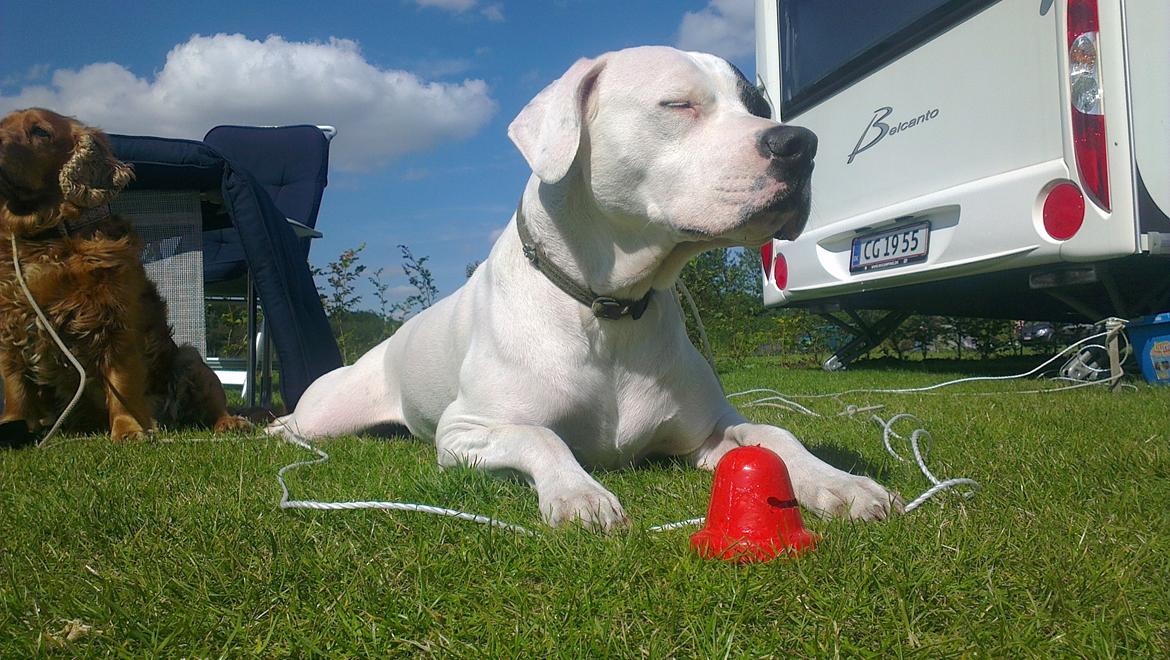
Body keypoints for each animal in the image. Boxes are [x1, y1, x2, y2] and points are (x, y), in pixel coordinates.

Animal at [0, 107, 246, 437]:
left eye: (41, 132)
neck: (48, 238)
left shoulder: (116, 322)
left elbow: (123, 384)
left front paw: (129, 430)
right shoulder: (12, 327)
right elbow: (16, 388)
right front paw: (13, 424)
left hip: (189, 357)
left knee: (212, 403)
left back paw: (230, 421)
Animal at [271, 46, 893, 531]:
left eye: (757, 108)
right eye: (679, 104)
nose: (801, 144)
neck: (608, 309)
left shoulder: (708, 428)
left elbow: (774, 433)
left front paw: (840, 482)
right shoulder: (467, 431)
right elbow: (542, 438)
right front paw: (579, 494)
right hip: (330, 410)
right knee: (302, 422)